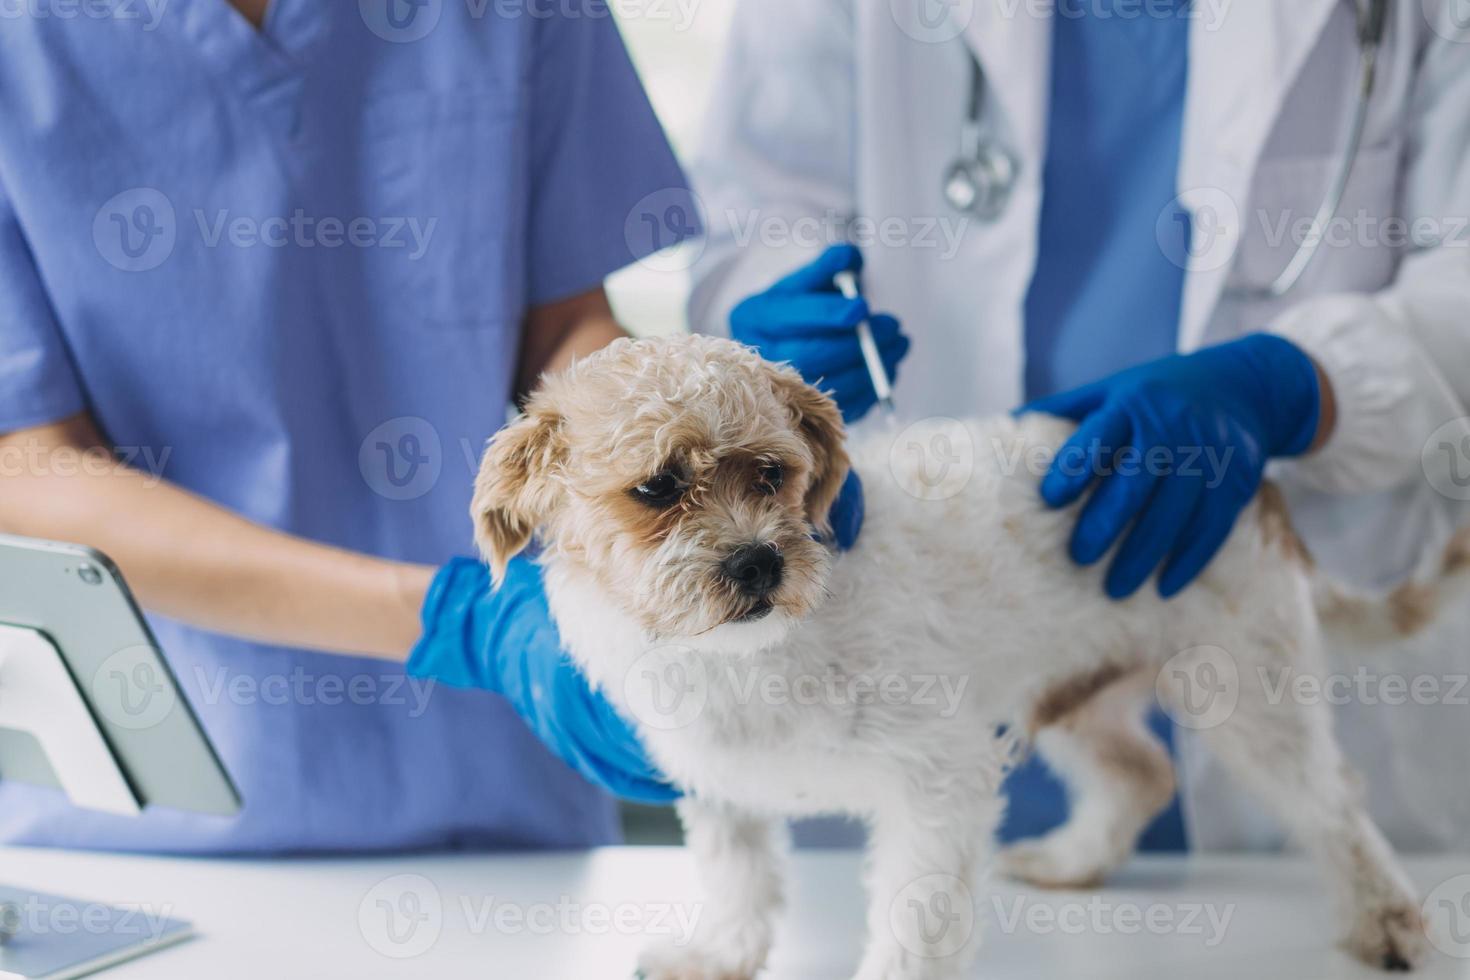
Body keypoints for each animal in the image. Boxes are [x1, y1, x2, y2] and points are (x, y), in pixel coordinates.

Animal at [470, 333, 1458, 975]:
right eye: (658, 487)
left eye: (773, 475)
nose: (759, 561)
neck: (750, 660)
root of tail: (1254, 476)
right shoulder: (720, 788)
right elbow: (738, 877)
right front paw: (717, 955)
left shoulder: (936, 781)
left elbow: (913, 917)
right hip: (1074, 700)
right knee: (1142, 773)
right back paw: (1072, 862)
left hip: (1252, 698)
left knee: (1333, 804)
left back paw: (1386, 923)